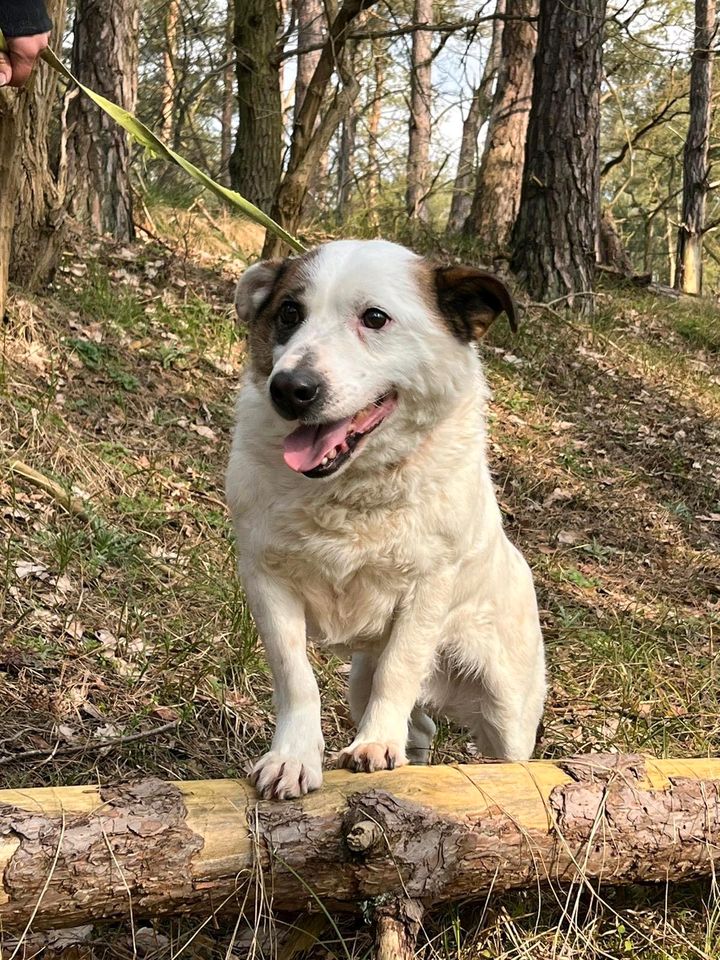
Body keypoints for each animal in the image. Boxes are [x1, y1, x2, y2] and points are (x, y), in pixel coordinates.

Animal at [225, 240, 544, 804]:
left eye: (374, 317)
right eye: (289, 312)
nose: (289, 388)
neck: (350, 492)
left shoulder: (426, 592)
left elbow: (400, 669)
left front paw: (375, 744)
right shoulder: (266, 580)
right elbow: (295, 676)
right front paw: (293, 758)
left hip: (507, 710)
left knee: (504, 751)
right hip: (360, 681)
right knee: (421, 726)